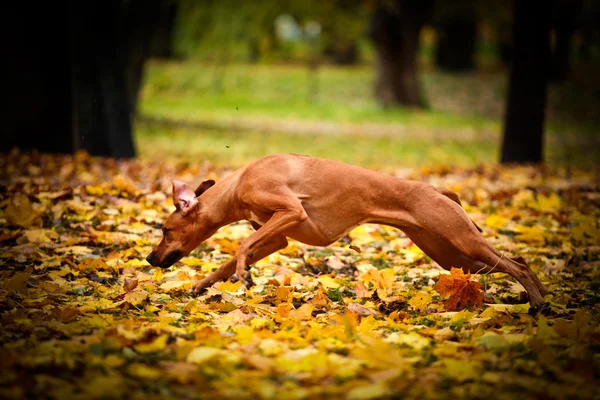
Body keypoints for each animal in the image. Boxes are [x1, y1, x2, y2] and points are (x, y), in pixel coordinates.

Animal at [146, 153, 548, 306]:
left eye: (164, 229)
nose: (150, 258)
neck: (238, 183)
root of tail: (437, 189)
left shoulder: (290, 211)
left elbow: (243, 244)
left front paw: (243, 274)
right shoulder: (276, 237)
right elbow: (227, 261)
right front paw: (200, 285)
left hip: (461, 240)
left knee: (517, 264)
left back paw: (538, 302)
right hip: (454, 256)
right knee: (518, 260)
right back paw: (540, 297)